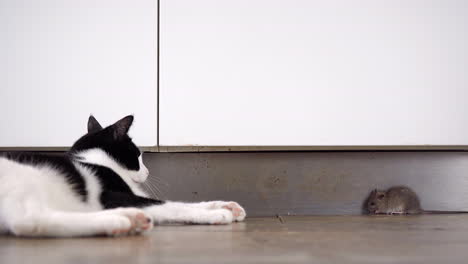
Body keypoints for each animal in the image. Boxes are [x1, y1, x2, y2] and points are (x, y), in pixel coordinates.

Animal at [0, 115, 247, 237]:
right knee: (29, 222)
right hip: (26, 181)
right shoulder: (110, 194)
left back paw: (130, 217)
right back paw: (119, 221)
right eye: (137, 155)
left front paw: (225, 205)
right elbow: (171, 205)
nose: (147, 172)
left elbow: (177, 202)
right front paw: (217, 214)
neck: (99, 161)